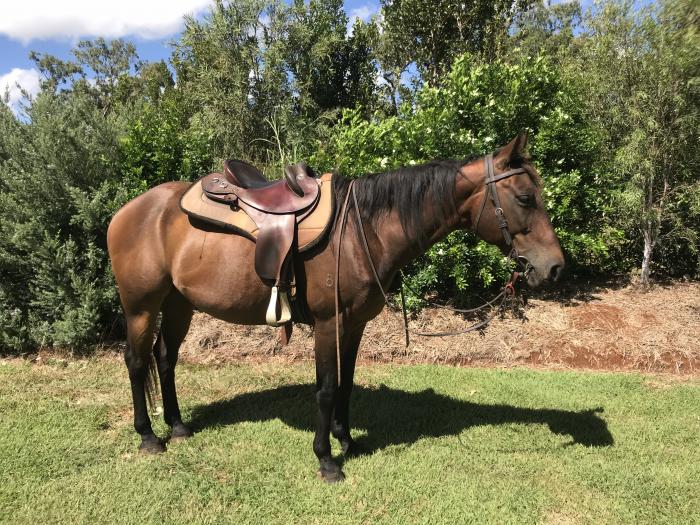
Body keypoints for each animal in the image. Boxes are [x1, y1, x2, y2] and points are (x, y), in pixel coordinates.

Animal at [107, 133, 564, 483]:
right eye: (526, 198)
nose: (555, 267)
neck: (363, 230)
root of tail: (128, 211)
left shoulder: (354, 324)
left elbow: (346, 384)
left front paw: (348, 441)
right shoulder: (329, 324)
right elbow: (327, 389)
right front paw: (327, 459)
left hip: (178, 304)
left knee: (165, 359)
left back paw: (178, 426)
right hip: (141, 306)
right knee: (136, 361)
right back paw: (149, 436)